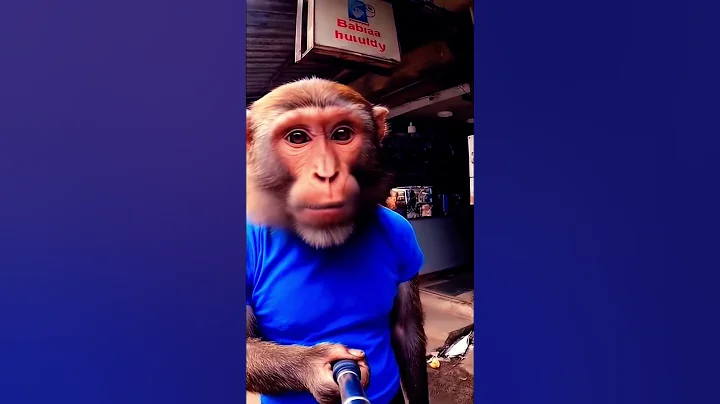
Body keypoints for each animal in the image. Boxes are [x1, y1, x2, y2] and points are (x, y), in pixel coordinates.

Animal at [246, 78, 429, 404]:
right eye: (297, 137)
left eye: (342, 134)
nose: (327, 174)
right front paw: (315, 365)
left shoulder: (404, 237)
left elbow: (404, 327)